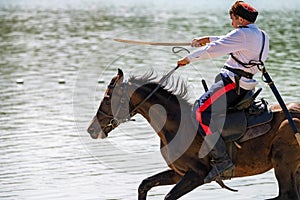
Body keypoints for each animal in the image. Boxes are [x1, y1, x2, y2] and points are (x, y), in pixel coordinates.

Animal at [86, 69, 300, 200]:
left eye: (107, 99)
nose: (91, 129)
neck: (176, 125)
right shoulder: (178, 172)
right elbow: (144, 185)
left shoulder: (196, 175)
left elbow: (168, 196)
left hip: (283, 165)